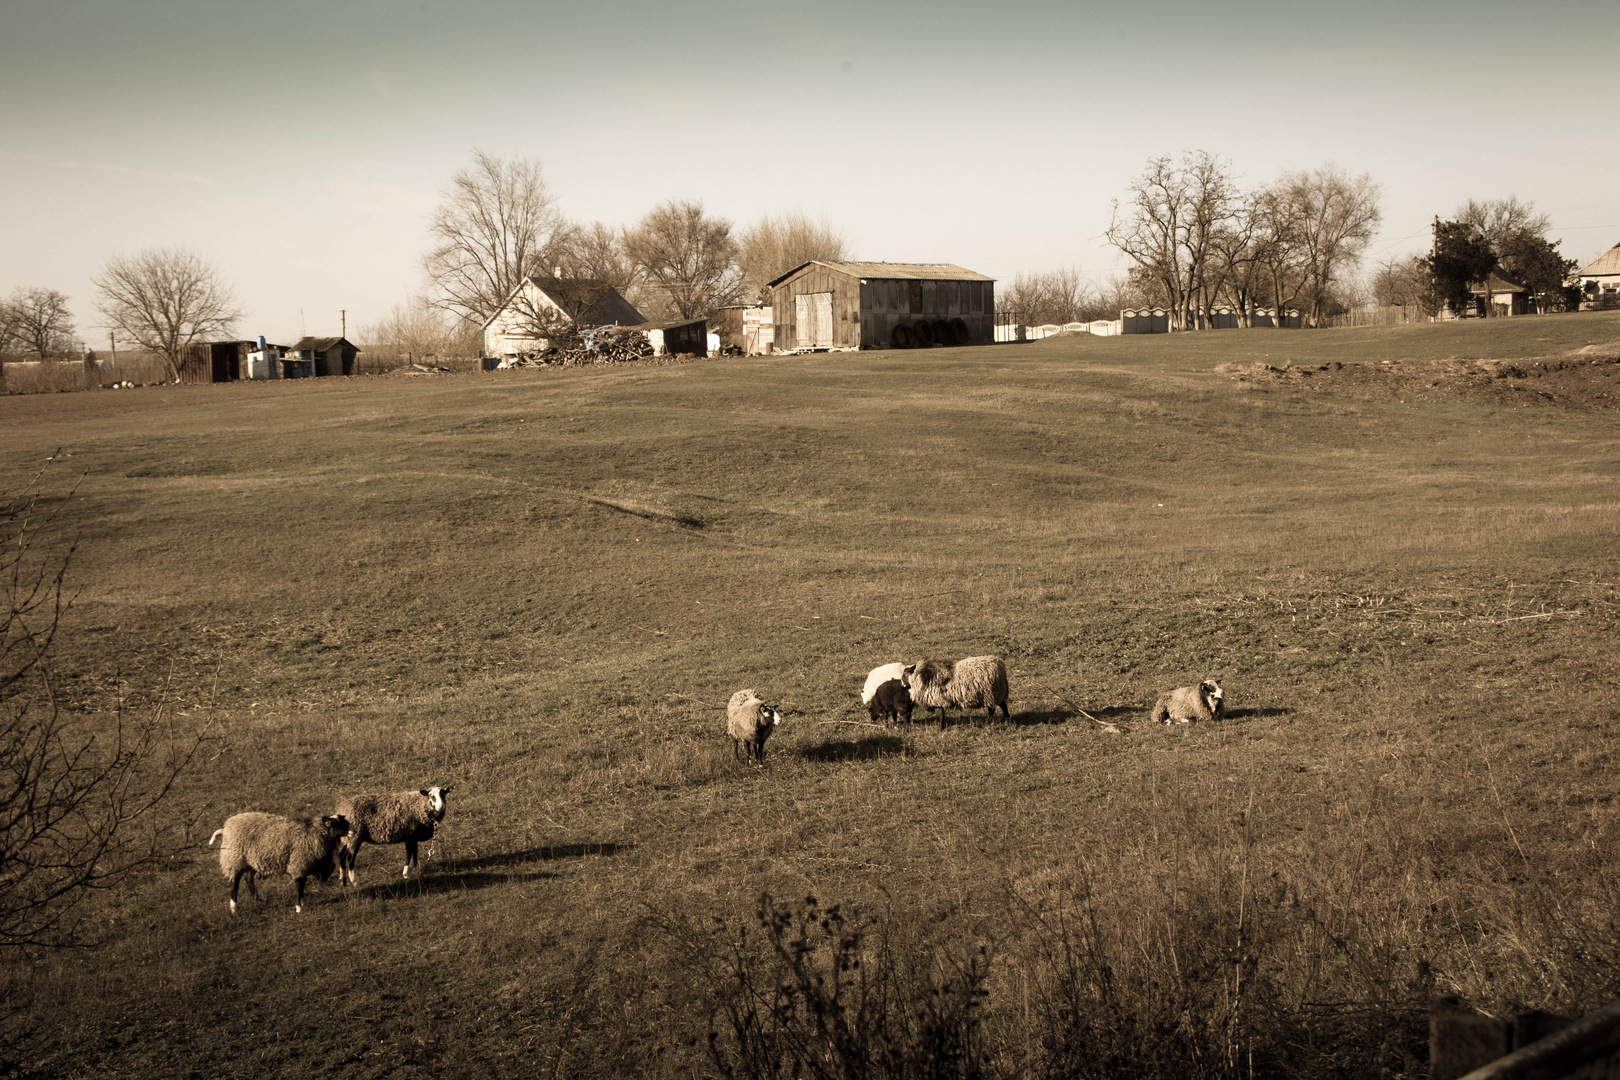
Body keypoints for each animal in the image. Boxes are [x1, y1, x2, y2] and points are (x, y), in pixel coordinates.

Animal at [207, 816, 353, 919]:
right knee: (234, 885)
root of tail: (225, 829)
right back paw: (233, 909)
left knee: (249, 880)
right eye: (338, 824)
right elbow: (299, 887)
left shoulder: (303, 867)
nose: (354, 831)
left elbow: (302, 886)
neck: (315, 833)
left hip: (250, 861)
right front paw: (298, 908)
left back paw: (259, 899)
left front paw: (301, 903)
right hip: (234, 860)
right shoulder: (299, 865)